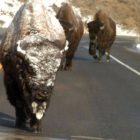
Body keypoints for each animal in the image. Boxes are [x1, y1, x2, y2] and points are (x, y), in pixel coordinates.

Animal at [0, 0, 66, 132]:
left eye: (55, 69)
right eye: (30, 68)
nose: (43, 92)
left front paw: (36, 126)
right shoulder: (11, 80)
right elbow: (19, 103)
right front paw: (20, 122)